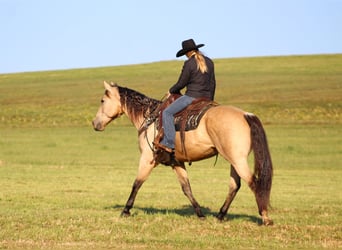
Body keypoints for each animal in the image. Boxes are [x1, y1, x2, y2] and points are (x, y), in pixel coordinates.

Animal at [92, 81, 274, 226]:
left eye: (102, 100)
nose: (95, 123)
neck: (150, 118)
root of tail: (246, 115)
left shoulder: (147, 159)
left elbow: (137, 183)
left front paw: (125, 210)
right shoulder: (176, 162)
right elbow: (187, 188)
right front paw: (200, 214)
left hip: (238, 161)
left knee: (254, 183)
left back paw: (265, 217)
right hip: (234, 161)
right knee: (234, 185)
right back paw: (220, 215)